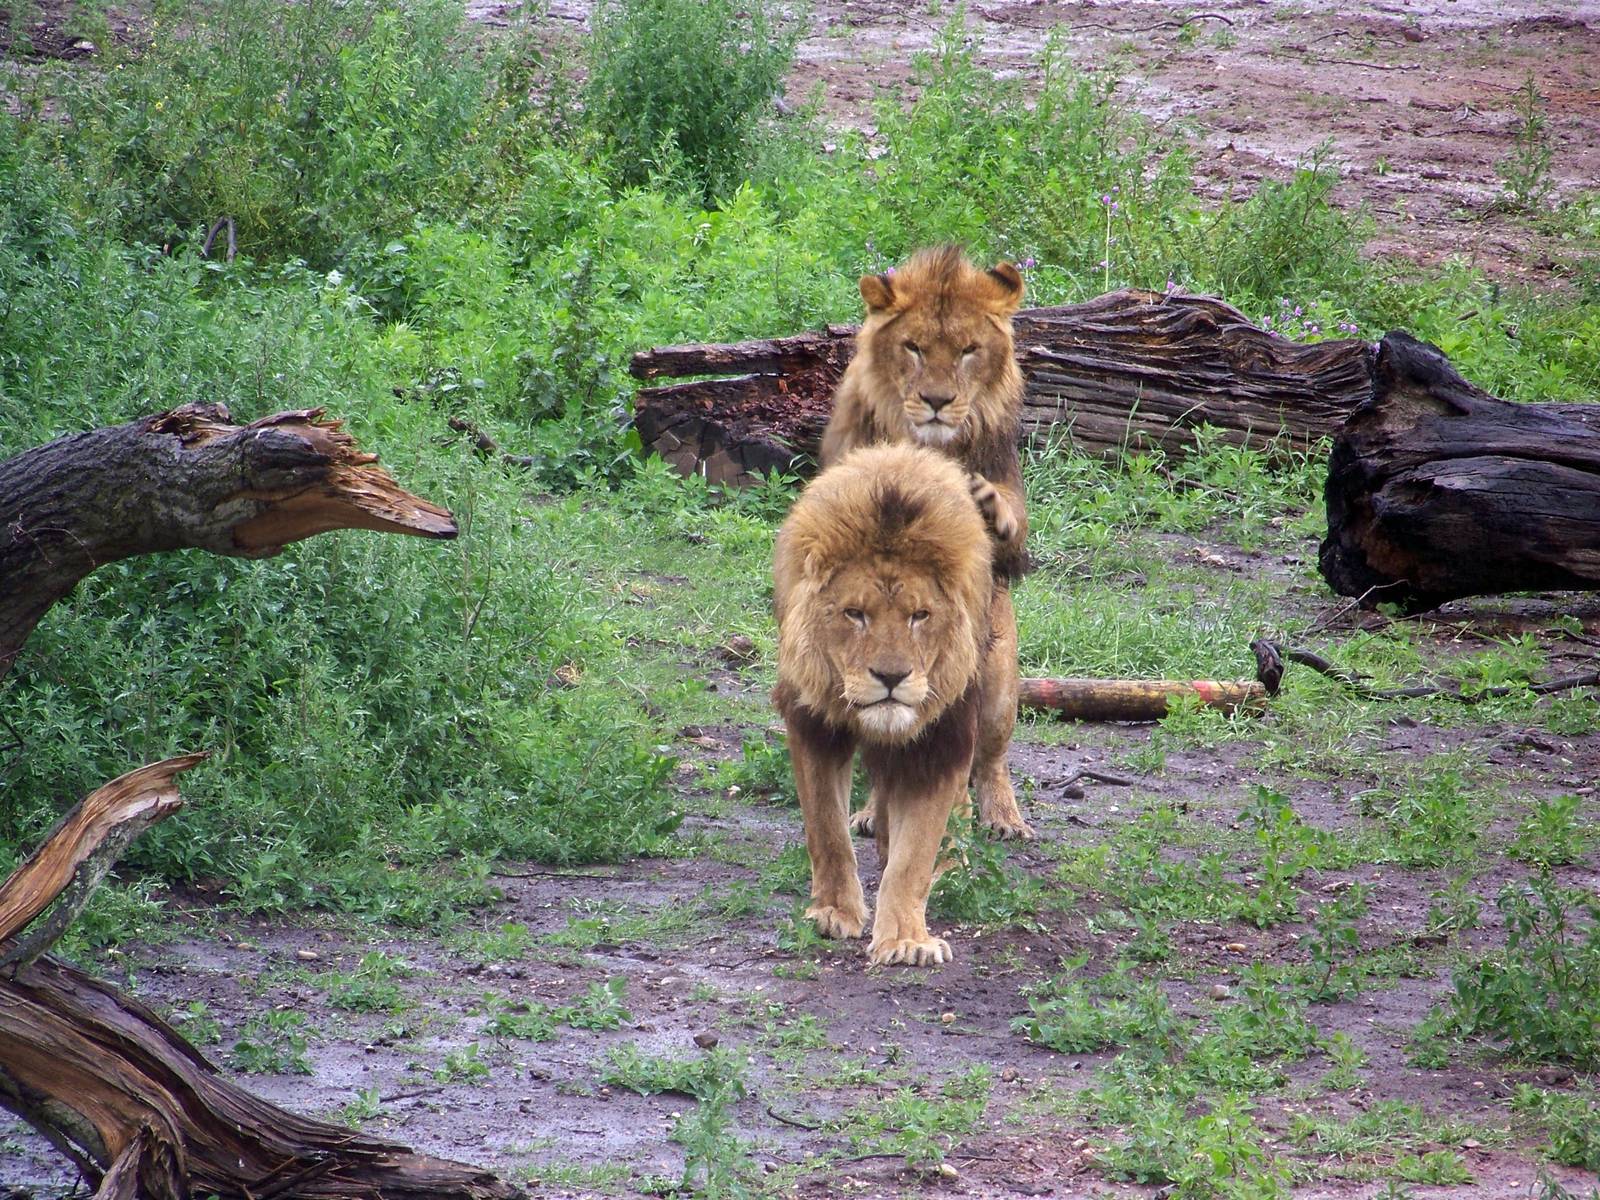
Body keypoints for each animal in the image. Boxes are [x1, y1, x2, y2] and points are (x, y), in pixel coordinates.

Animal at [772, 444, 995, 966]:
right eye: (855, 614)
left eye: (920, 616)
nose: (892, 678)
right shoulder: (814, 726)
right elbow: (827, 830)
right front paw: (833, 912)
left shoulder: (940, 743)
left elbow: (913, 857)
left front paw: (906, 938)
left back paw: (954, 860)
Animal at [818, 245, 1034, 840]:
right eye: (912, 348)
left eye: (967, 351)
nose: (937, 401)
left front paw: (988, 507)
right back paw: (873, 813)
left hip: (999, 679)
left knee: (987, 755)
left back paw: (998, 816)